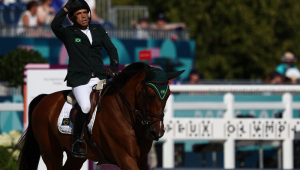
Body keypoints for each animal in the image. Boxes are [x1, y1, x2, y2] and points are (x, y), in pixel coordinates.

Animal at [15, 62, 184, 170]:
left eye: (168, 95)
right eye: (149, 96)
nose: (157, 132)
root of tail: (44, 99)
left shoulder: (141, 161)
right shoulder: (125, 158)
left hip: (76, 157)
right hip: (51, 153)